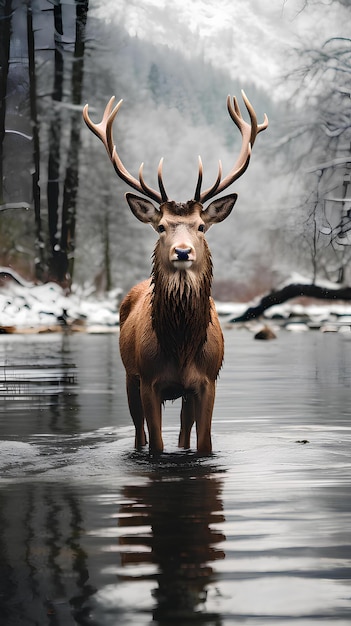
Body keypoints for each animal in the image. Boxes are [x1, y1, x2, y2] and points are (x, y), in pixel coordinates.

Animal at [83, 91, 270, 454]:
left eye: (201, 226)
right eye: (160, 227)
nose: (182, 251)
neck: (181, 347)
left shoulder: (208, 381)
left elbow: (203, 443)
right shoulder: (148, 380)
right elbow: (155, 445)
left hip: (184, 394)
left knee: (184, 431)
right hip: (129, 377)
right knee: (139, 433)